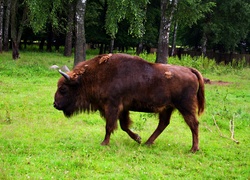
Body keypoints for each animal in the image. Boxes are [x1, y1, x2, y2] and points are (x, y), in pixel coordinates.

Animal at [53, 53, 204, 152]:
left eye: (63, 89)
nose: (55, 104)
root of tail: (189, 70)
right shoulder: (123, 109)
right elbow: (124, 126)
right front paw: (138, 138)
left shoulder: (112, 106)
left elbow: (109, 126)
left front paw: (104, 143)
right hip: (167, 108)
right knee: (163, 124)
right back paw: (147, 143)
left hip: (185, 107)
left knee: (193, 124)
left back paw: (193, 149)